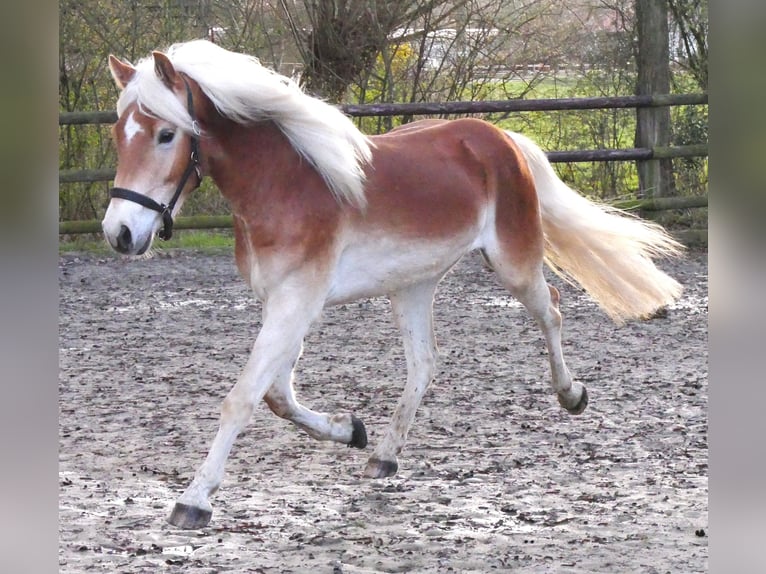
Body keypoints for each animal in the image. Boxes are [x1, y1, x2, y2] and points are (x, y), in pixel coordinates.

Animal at [102, 39, 683, 529]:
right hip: (413, 285)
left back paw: (572, 395)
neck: (284, 184)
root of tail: (503, 140)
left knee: (553, 310)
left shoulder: (297, 300)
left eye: (166, 134)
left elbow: (243, 398)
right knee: (424, 362)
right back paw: (383, 455)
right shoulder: (285, 303)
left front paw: (194, 501)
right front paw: (351, 430)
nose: (120, 234)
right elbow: (277, 397)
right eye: (118, 136)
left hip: (512, 264)